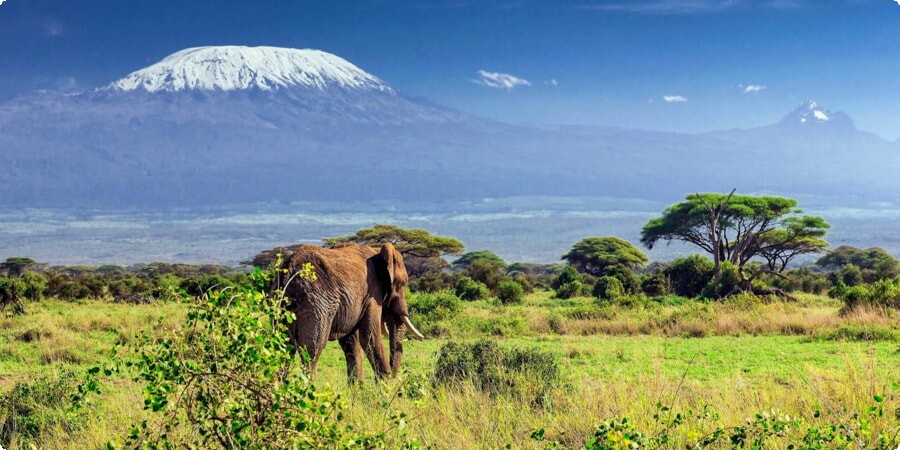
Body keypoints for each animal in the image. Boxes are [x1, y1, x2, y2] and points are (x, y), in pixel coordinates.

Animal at [280, 241, 424, 382]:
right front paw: (385, 384)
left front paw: (358, 387)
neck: (377, 251)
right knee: (312, 350)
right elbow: (369, 335)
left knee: (282, 348)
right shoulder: (372, 294)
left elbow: (351, 342)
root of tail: (289, 272)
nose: (394, 378)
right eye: (403, 283)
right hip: (317, 306)